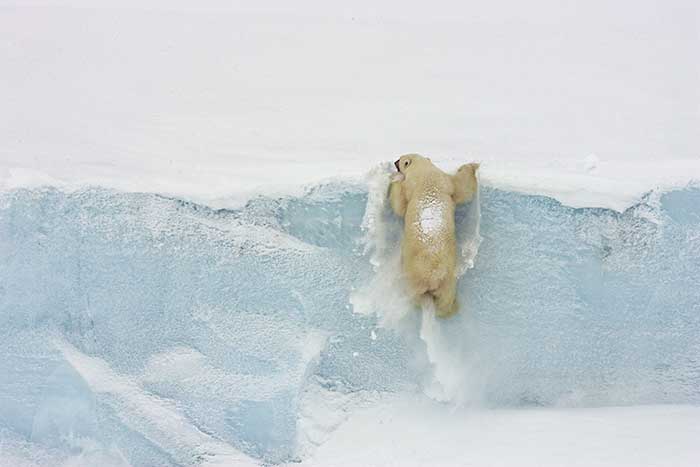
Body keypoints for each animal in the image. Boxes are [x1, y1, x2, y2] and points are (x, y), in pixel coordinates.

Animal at [386, 154, 478, 318]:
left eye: (402, 160)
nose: (395, 161)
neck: (426, 176)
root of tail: (432, 276)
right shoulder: (446, 182)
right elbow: (462, 189)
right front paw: (472, 166)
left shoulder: (413, 187)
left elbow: (400, 205)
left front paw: (394, 179)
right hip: (447, 281)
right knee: (445, 298)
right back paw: (451, 307)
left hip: (414, 277)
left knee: (416, 296)